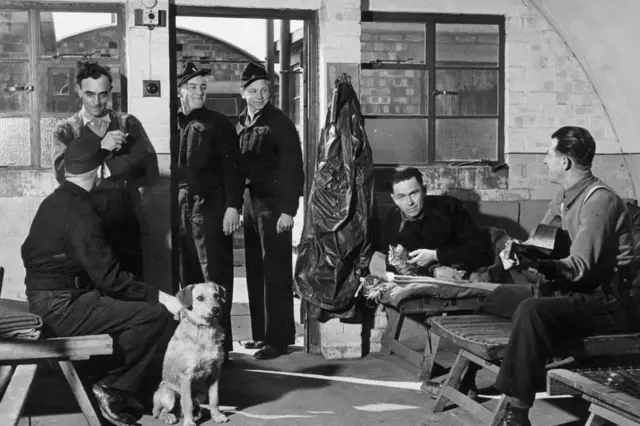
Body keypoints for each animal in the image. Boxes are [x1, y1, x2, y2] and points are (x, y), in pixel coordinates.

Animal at [151, 282, 229, 424]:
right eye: (200, 298)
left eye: (216, 295)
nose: (216, 309)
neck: (205, 330)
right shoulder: (186, 376)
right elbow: (187, 403)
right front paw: (189, 422)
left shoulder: (215, 373)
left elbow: (214, 399)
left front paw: (217, 415)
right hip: (168, 393)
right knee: (161, 412)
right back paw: (170, 417)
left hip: (200, 394)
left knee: (191, 406)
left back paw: (198, 413)